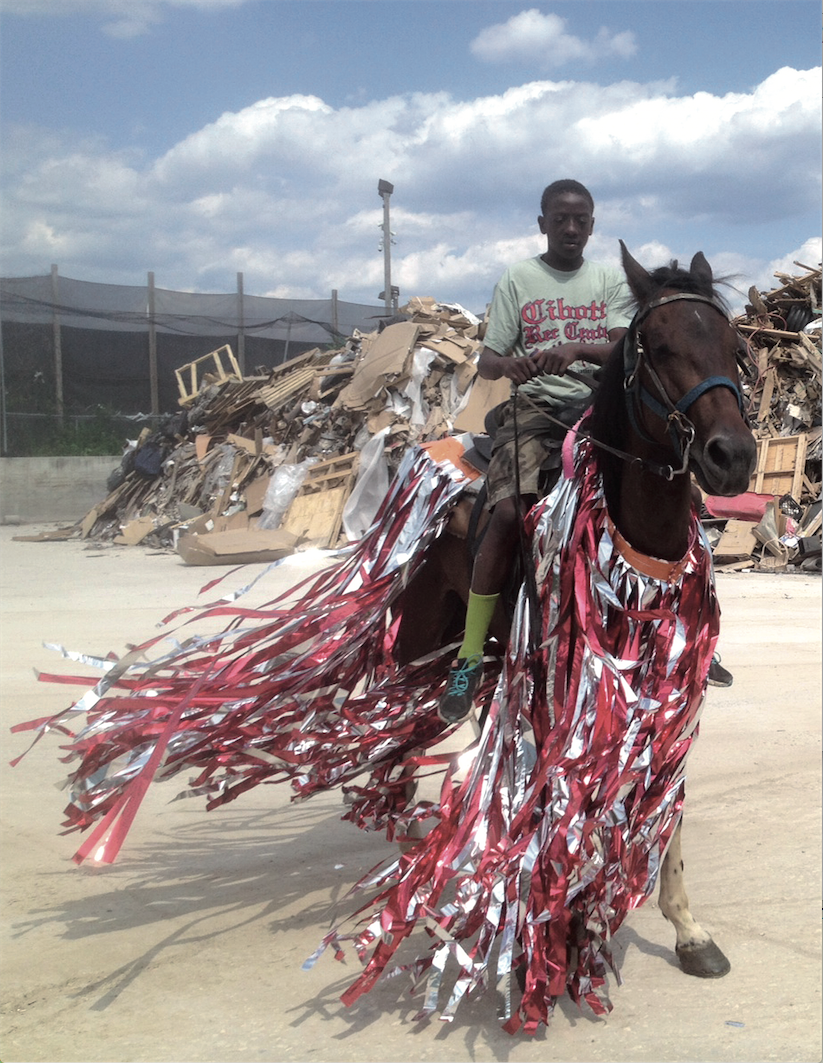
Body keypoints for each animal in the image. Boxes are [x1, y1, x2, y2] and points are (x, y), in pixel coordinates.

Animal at [393, 239, 761, 986]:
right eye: (656, 345)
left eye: (733, 346)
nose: (731, 455)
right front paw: (546, 924)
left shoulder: (666, 681)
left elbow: (663, 799)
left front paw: (687, 928)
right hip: (424, 628)